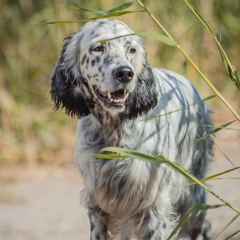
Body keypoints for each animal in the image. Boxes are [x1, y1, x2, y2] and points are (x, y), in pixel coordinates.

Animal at [50, 17, 214, 239]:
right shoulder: (97, 205)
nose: (125, 73)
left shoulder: (154, 207)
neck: (114, 131)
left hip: (193, 196)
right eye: (98, 47)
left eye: (132, 49)